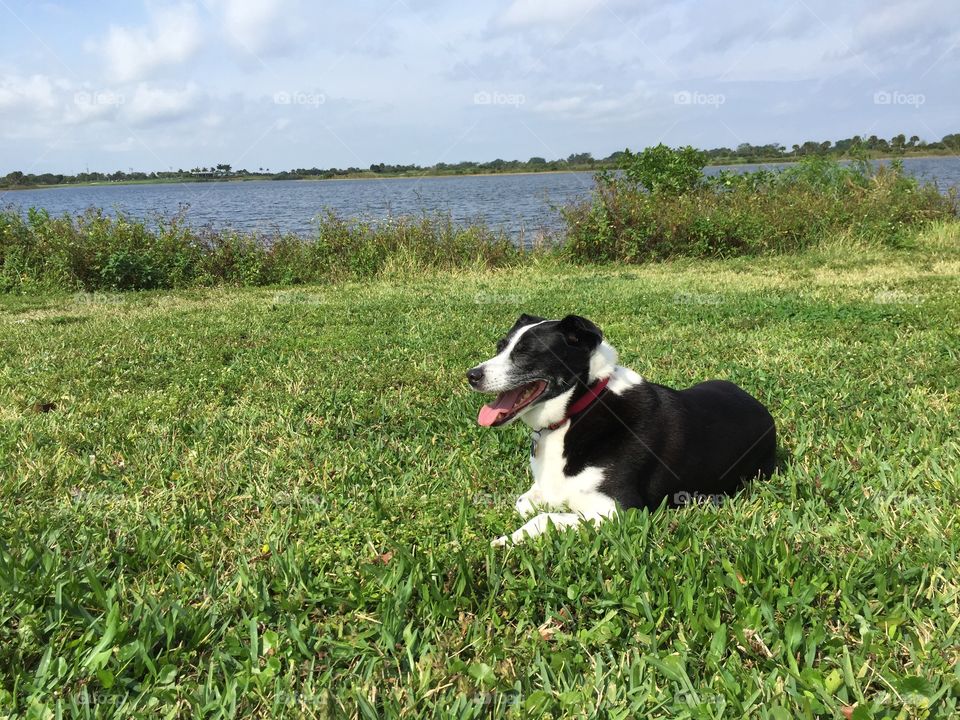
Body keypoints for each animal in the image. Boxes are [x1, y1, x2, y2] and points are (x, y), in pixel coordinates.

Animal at [468, 312, 776, 544]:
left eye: (526, 352)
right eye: (500, 347)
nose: (471, 375)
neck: (579, 407)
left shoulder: (621, 511)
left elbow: (543, 518)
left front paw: (505, 541)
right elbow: (524, 504)